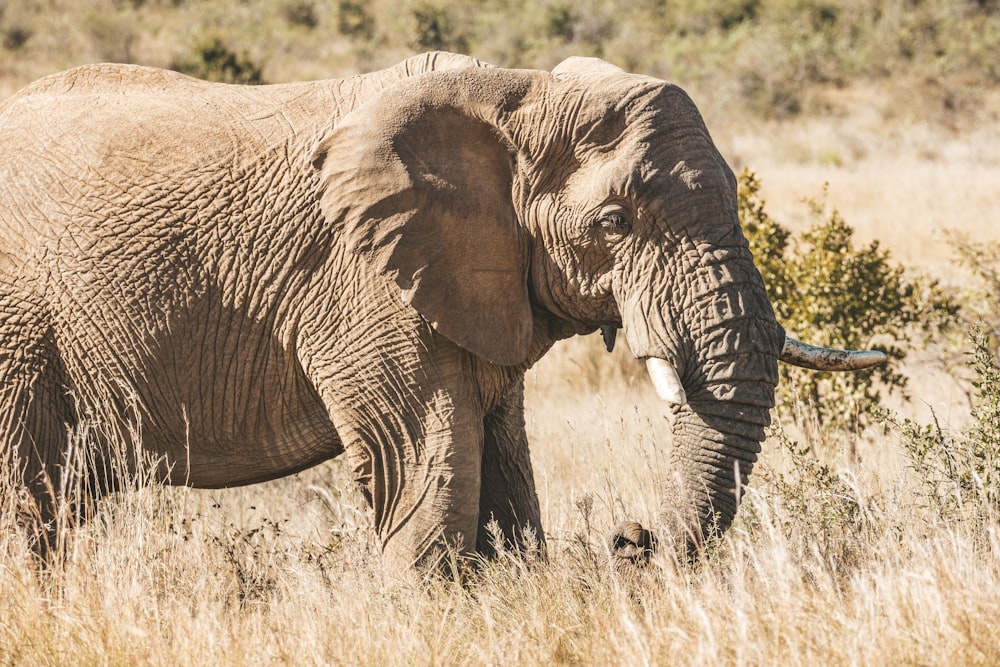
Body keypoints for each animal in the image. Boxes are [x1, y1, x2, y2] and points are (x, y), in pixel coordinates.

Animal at [0, 53, 884, 576]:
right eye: (614, 223)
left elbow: (501, 459)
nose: (632, 538)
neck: (520, 96)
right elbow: (425, 456)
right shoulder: (361, 280)